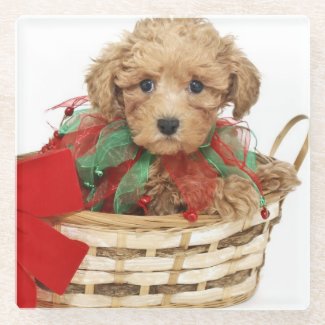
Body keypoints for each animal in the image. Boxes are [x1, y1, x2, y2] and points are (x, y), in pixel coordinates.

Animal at [84, 18, 298, 220]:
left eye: (196, 86)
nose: (168, 124)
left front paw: (268, 174)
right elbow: (186, 187)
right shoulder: (158, 200)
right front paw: (231, 190)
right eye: (145, 85)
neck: (174, 156)